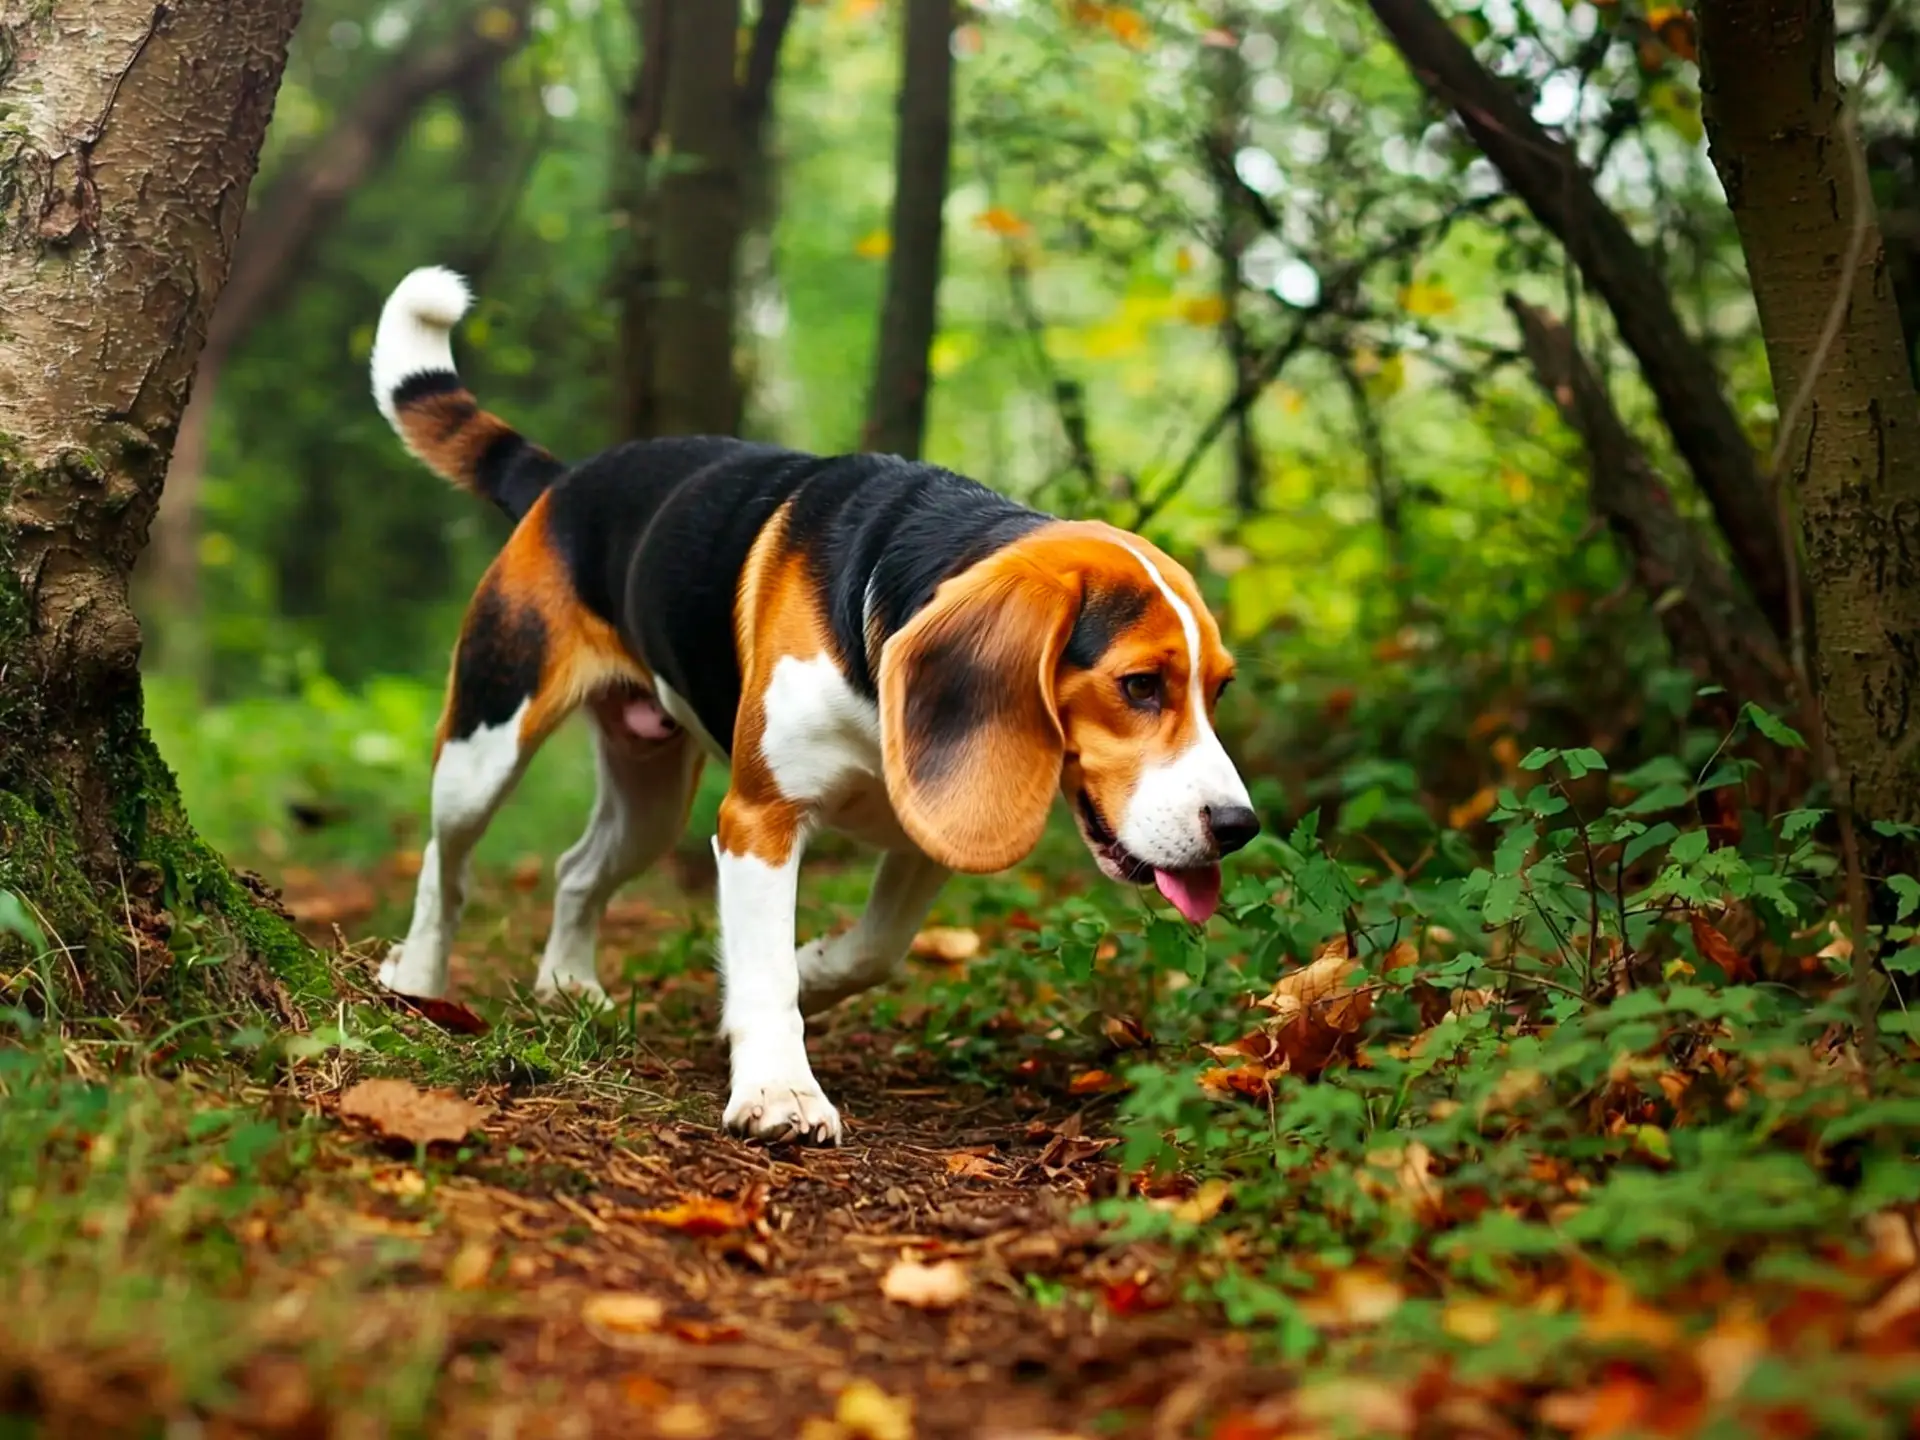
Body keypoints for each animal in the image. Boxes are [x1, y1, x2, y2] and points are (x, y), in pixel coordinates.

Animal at [366, 268, 1259, 1152]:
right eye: (1139, 685)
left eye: (1220, 689)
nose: (1239, 826)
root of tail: (561, 482)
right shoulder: (758, 819)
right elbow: (765, 970)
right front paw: (778, 1090)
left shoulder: (933, 831)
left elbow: (873, 951)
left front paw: (812, 968)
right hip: (486, 741)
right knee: (445, 866)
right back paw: (420, 981)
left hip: (648, 796)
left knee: (578, 868)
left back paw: (567, 983)